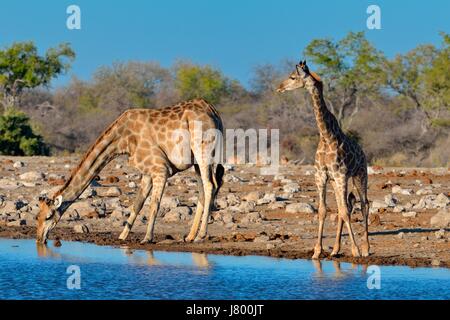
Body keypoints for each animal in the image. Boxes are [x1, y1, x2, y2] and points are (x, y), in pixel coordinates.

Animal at [36, 100, 225, 245]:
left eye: (48, 216)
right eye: (36, 216)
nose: (39, 239)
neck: (122, 140)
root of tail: (215, 113)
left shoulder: (160, 169)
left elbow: (154, 204)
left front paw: (147, 238)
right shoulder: (147, 172)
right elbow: (137, 204)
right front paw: (122, 236)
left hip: (203, 149)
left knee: (210, 185)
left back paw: (201, 235)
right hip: (196, 161)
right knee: (204, 189)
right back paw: (190, 236)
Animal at [278, 61, 370, 258]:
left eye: (292, 77)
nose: (279, 87)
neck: (326, 136)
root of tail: (363, 153)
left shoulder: (341, 175)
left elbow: (344, 211)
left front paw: (356, 250)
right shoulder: (321, 175)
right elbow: (323, 211)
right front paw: (317, 251)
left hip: (359, 175)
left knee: (363, 204)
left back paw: (366, 248)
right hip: (336, 181)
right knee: (345, 207)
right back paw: (335, 250)